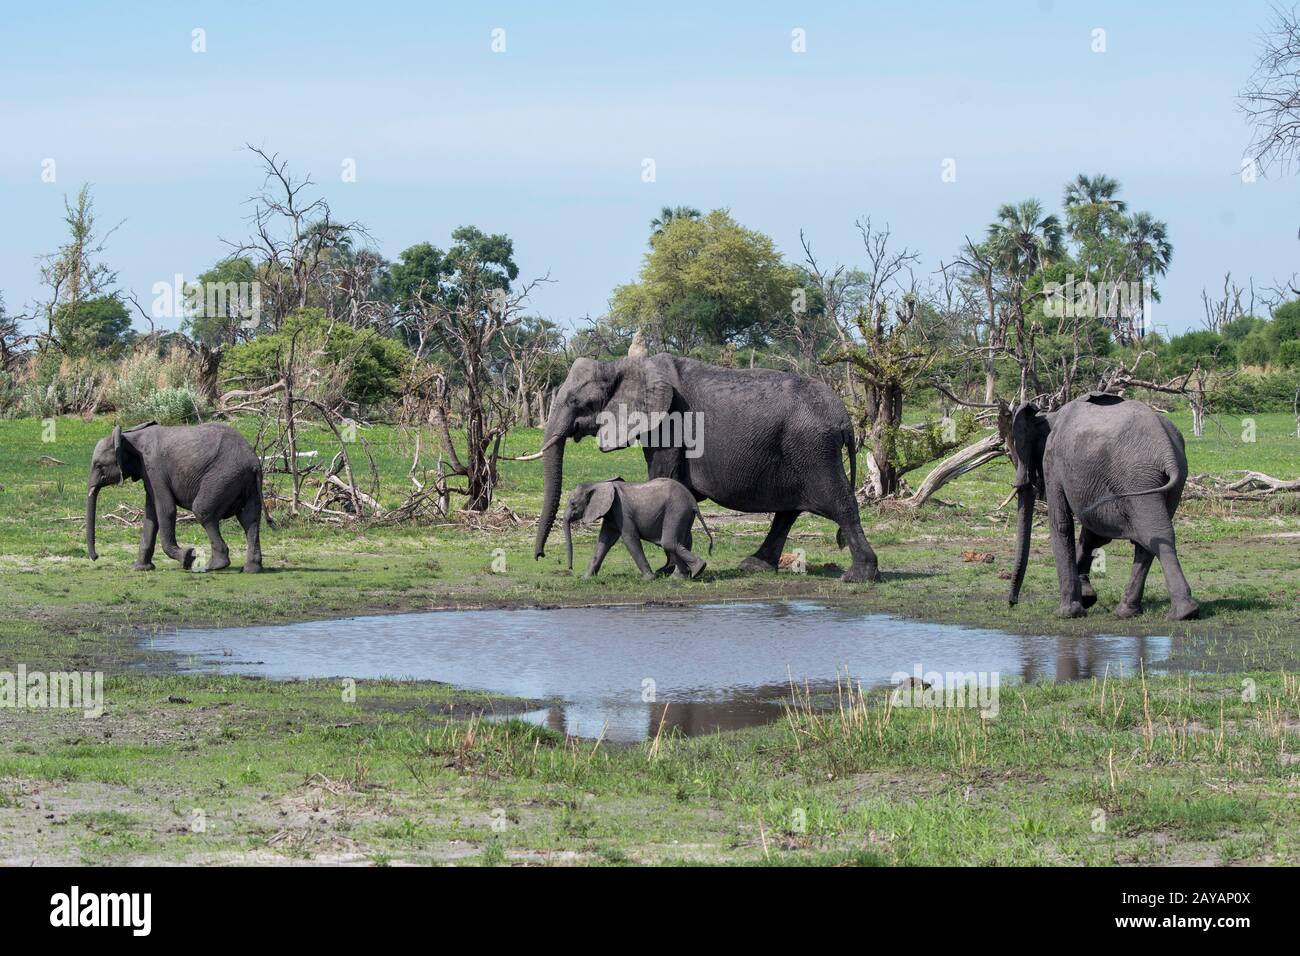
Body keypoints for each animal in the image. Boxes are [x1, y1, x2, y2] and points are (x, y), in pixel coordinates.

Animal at [86, 421, 268, 573]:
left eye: (99, 466)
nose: (96, 557)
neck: (130, 437)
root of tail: (254, 462)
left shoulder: (154, 468)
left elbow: (166, 510)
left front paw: (188, 558)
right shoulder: (148, 474)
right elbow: (151, 515)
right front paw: (140, 569)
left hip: (223, 476)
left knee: (203, 510)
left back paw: (214, 566)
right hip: (244, 482)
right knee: (250, 518)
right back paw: (251, 569)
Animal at [564, 477, 714, 579]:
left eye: (573, 503)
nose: (570, 569)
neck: (599, 483)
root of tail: (693, 502)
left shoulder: (621, 510)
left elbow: (629, 538)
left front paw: (648, 579)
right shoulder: (611, 513)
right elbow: (604, 542)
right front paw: (586, 578)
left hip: (677, 509)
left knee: (669, 542)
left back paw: (698, 569)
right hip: (683, 513)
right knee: (683, 541)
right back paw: (680, 577)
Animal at [1001, 391, 1199, 620]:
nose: (1012, 603)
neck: (1049, 415)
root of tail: (1167, 452)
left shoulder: (1053, 461)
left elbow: (1061, 524)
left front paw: (1068, 613)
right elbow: (1093, 533)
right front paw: (1087, 598)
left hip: (1136, 477)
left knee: (1152, 533)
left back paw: (1181, 613)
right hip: (1169, 479)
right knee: (1152, 537)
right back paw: (1132, 612)